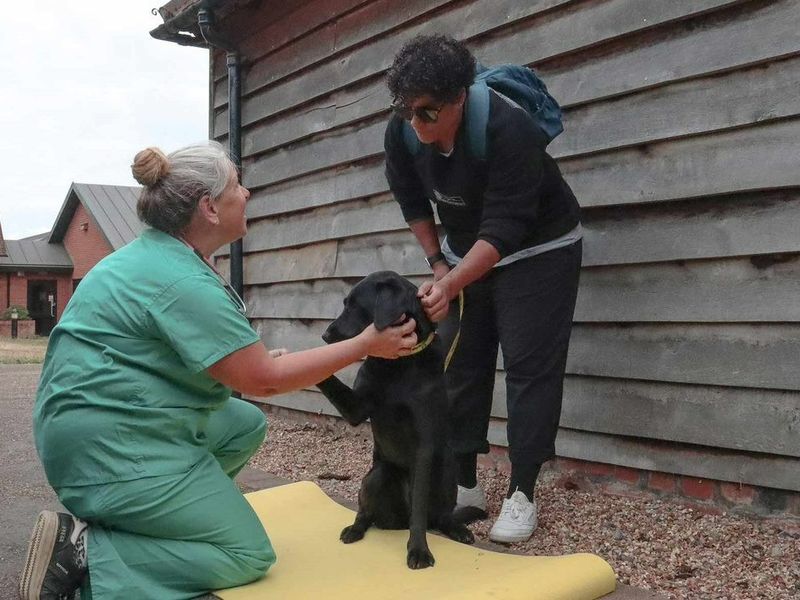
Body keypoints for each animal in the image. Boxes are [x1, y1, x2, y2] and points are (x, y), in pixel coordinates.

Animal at [316, 270, 472, 568]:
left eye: (354, 305)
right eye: (345, 303)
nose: (325, 334)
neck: (397, 364)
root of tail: (397, 522)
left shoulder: (423, 444)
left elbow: (419, 509)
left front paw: (419, 550)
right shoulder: (356, 407)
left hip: (446, 469)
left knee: (439, 515)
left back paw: (456, 529)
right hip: (377, 475)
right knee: (366, 512)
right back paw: (355, 529)